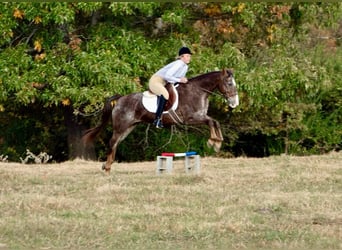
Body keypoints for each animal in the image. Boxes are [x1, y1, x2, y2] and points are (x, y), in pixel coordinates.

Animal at [82, 68, 238, 172]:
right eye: (230, 83)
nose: (234, 103)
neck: (198, 91)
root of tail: (120, 99)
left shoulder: (200, 117)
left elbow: (215, 122)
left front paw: (218, 142)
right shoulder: (191, 118)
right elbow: (212, 122)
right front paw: (213, 142)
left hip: (129, 127)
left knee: (115, 143)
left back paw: (107, 165)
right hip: (121, 126)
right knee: (112, 142)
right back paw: (107, 167)